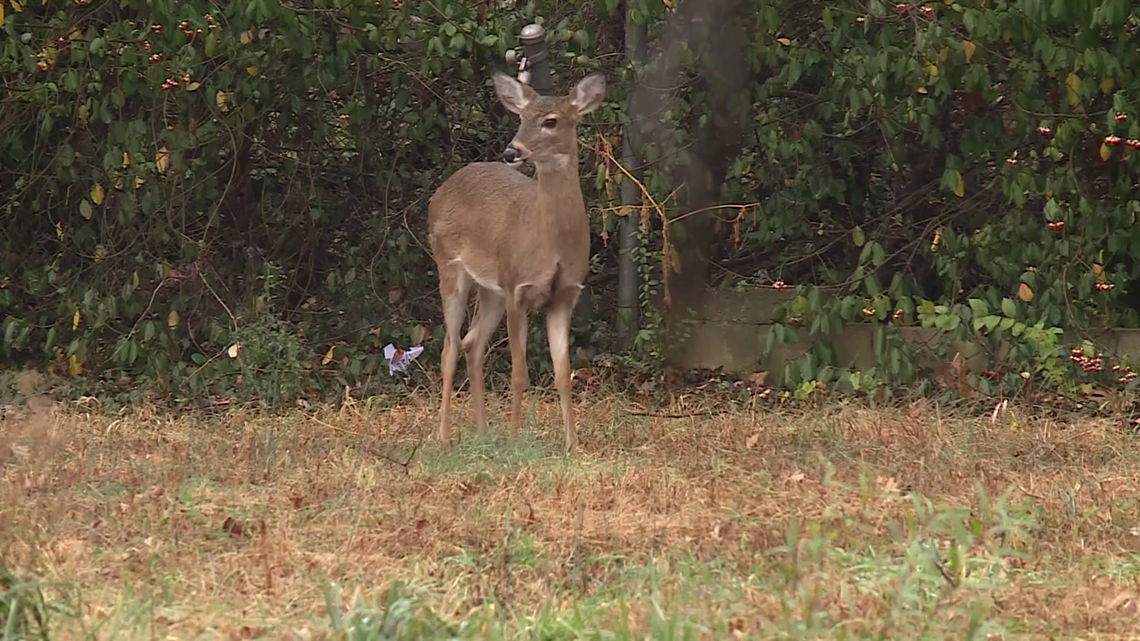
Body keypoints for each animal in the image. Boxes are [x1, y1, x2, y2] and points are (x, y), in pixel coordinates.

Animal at [427, 71, 607, 452]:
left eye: (551, 121)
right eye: (521, 118)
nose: (513, 151)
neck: (551, 245)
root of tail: (441, 190)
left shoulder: (564, 295)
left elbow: (563, 373)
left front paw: (572, 445)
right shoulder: (517, 288)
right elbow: (519, 371)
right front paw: (513, 438)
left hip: (490, 287)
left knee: (472, 343)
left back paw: (482, 432)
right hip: (449, 265)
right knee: (450, 347)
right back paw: (444, 436)